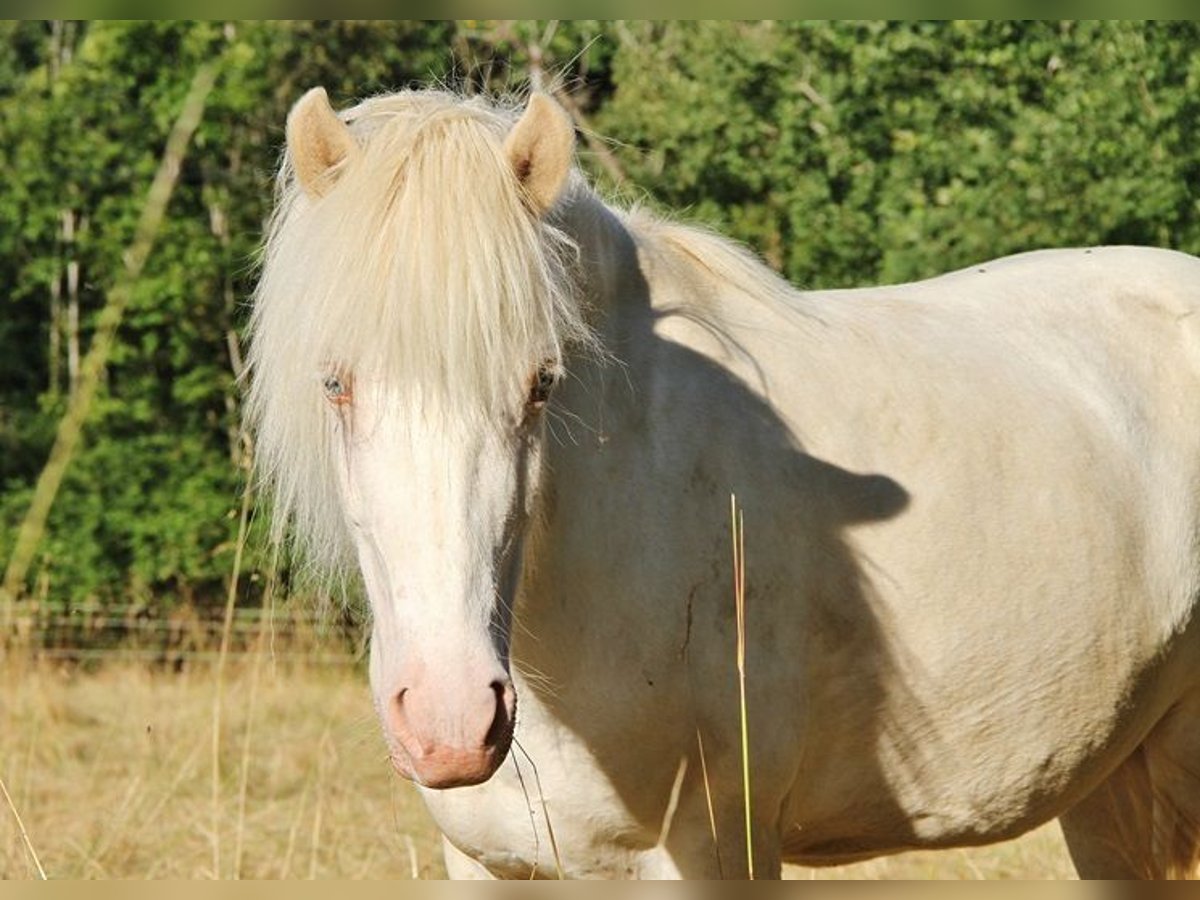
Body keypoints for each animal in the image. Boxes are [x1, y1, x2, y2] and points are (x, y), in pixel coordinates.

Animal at [246, 86, 1200, 883]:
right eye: (335, 384)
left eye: (542, 384)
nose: (451, 723)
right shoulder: (487, 865)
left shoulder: (714, 854)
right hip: (1112, 787)